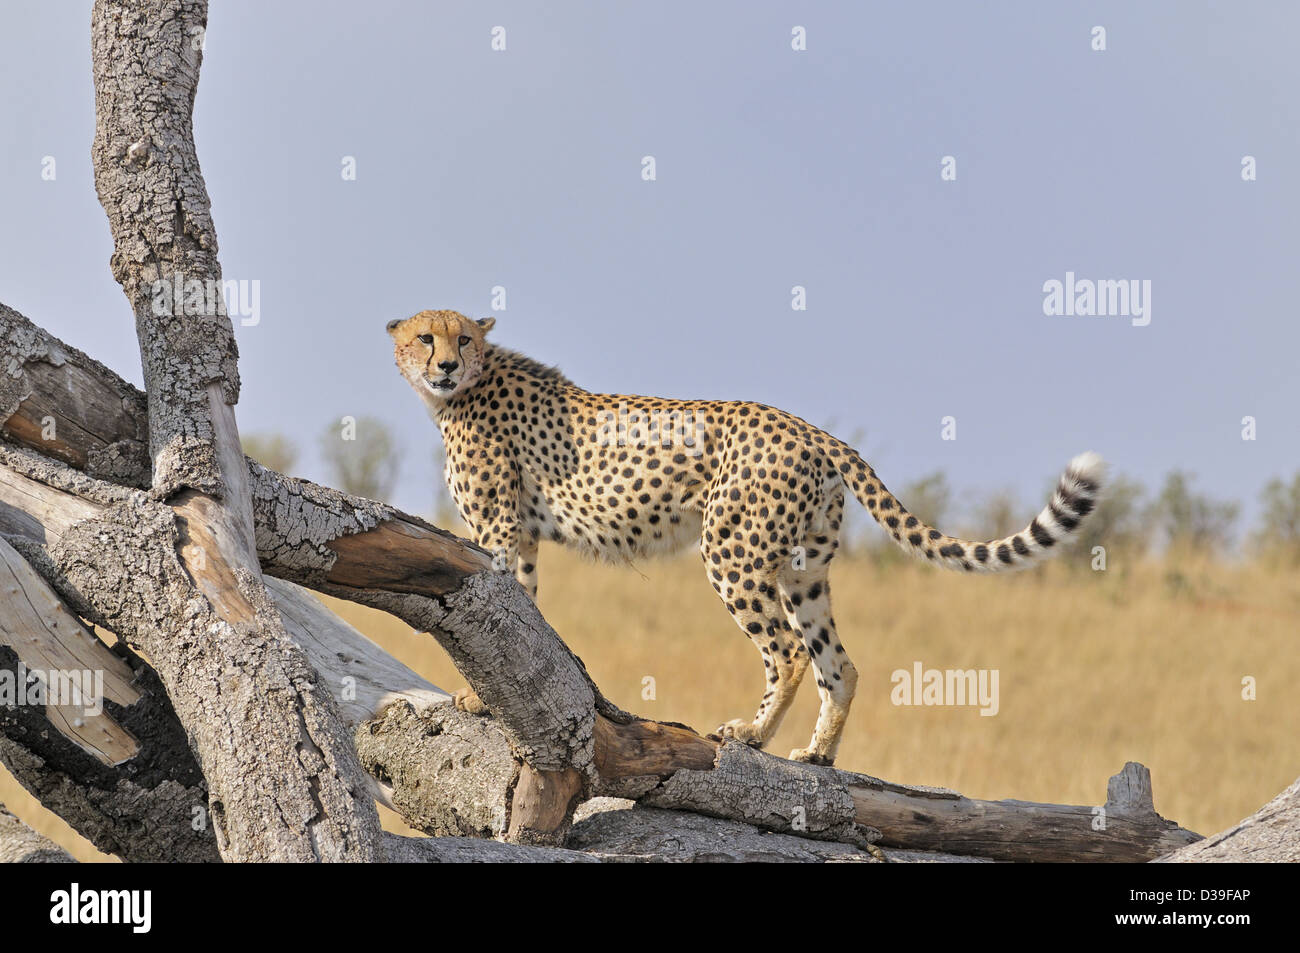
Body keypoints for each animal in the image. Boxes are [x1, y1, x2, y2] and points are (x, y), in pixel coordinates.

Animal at [387, 312, 1107, 764]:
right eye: (425, 337)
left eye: (462, 339)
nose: (445, 365)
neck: (461, 392)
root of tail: (814, 429)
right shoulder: (524, 536)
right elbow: (522, 605)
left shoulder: (502, 529)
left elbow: (503, 600)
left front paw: (478, 696)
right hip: (803, 569)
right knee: (838, 663)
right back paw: (816, 752)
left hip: (732, 552)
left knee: (786, 653)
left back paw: (752, 734)